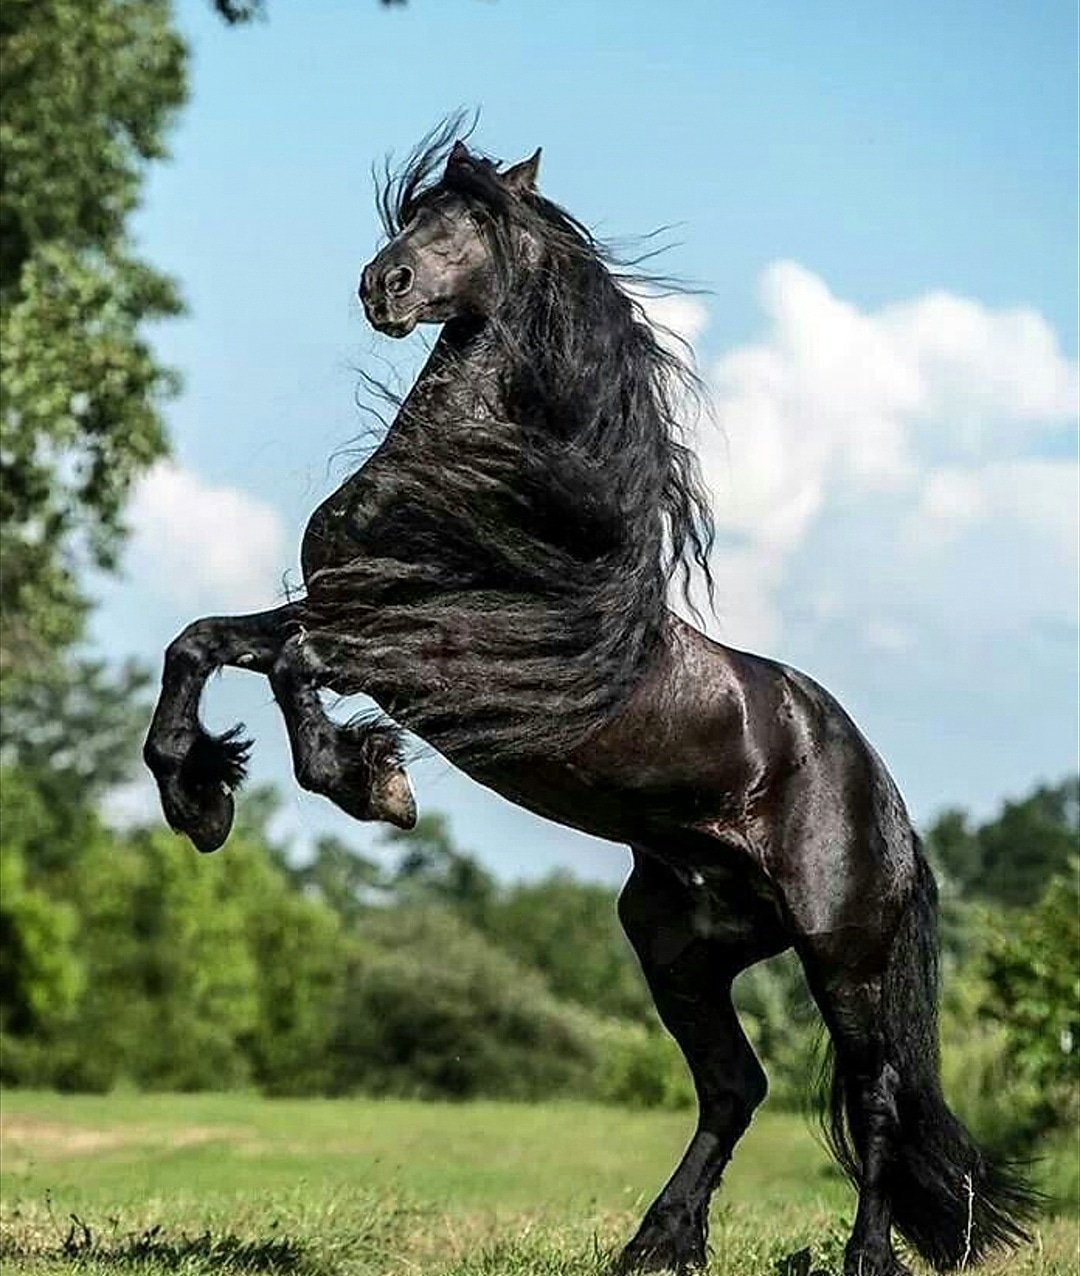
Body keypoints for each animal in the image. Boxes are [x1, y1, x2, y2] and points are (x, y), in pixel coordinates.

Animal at [144, 122, 1037, 1275]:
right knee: (736, 1087)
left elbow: (293, 665)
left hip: (845, 955)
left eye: (472, 221)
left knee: (874, 1098)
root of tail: (881, 793)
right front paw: (198, 797)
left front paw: (370, 782)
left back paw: (862, 1259)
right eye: (416, 214)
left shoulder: (422, 654)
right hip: (680, 944)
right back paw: (657, 1242)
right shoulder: (347, 612)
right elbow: (202, 642)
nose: (382, 286)